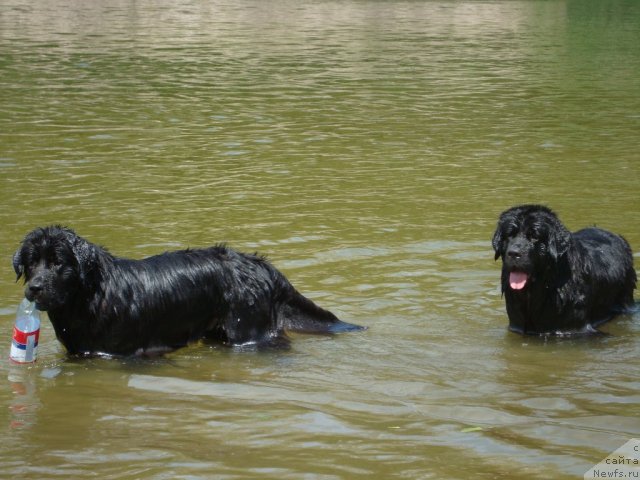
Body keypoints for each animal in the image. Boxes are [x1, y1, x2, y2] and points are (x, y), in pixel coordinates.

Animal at [13, 226, 364, 356]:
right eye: (31, 264)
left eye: (58, 263)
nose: (34, 288)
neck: (92, 296)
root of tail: (262, 265)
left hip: (247, 329)